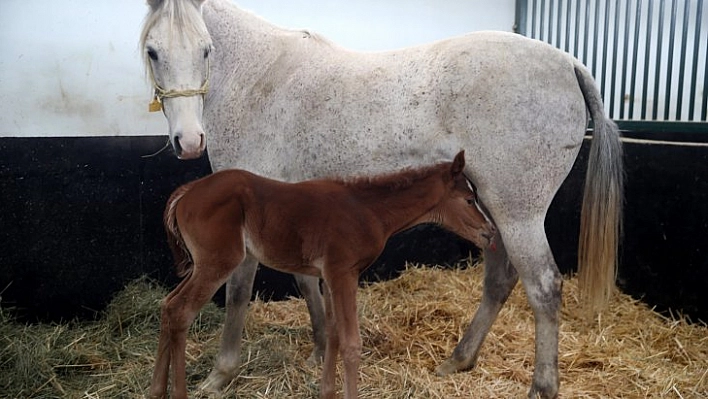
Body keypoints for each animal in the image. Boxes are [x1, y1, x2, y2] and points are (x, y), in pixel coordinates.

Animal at [149, 151, 492, 399]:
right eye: (469, 200)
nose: (489, 232)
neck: (368, 211)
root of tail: (187, 191)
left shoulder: (329, 276)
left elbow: (334, 333)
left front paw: (327, 391)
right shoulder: (343, 273)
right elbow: (352, 343)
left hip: (201, 265)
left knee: (167, 305)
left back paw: (156, 390)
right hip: (218, 262)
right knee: (181, 311)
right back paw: (178, 392)